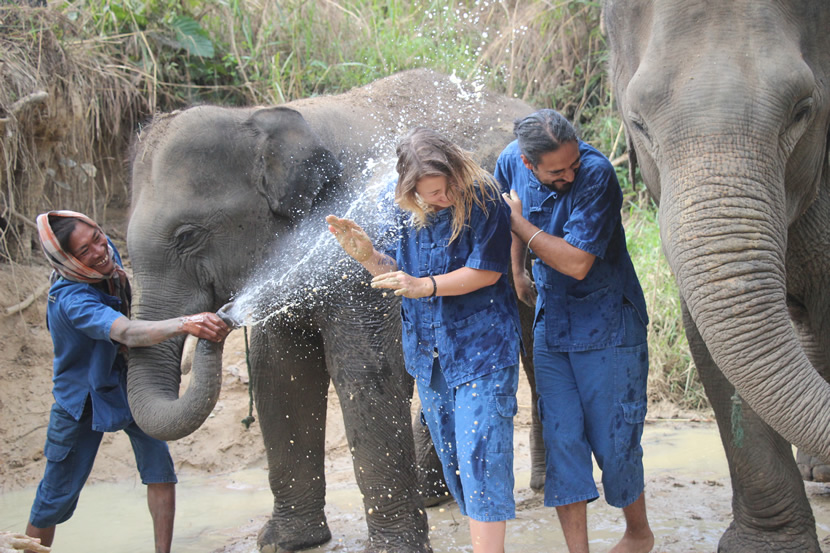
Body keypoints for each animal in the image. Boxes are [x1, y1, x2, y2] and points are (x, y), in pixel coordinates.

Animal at [124, 69, 539, 553]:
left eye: (187, 235)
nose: (217, 320)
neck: (259, 117)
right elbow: (278, 374)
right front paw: (284, 542)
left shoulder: (356, 272)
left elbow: (366, 372)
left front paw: (393, 550)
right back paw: (436, 495)